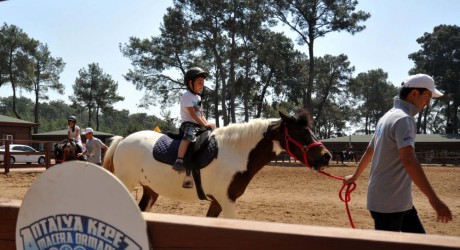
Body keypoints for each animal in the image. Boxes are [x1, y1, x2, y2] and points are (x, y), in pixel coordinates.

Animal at [103, 110, 330, 218]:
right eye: (301, 133)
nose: (326, 156)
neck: (235, 153)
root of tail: (123, 140)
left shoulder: (218, 202)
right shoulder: (227, 201)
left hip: (150, 190)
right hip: (126, 184)